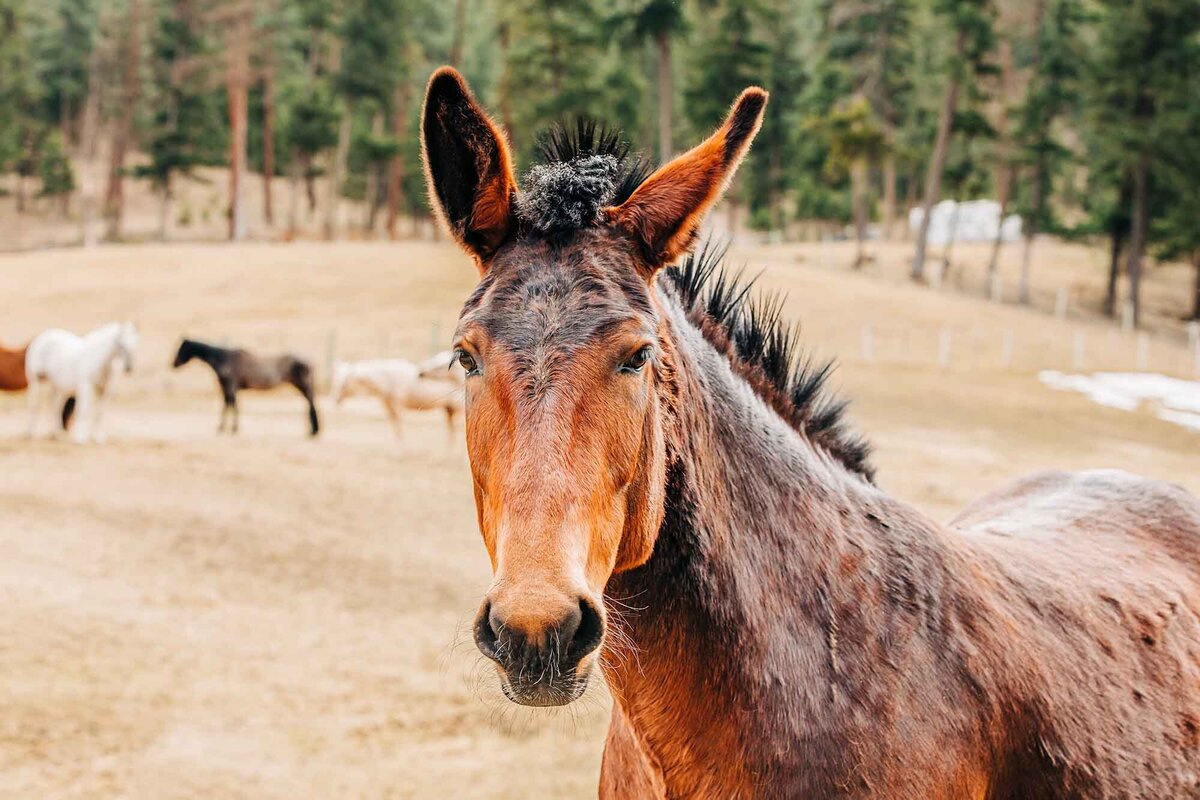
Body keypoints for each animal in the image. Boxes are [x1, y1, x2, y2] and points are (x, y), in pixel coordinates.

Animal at [172, 338, 319, 438]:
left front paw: (231, 429)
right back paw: (313, 430)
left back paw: (314, 431)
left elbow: (231, 405)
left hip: (304, 386)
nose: (173, 364)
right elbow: (229, 405)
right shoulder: (226, 389)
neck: (223, 359)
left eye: (181, 349)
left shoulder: (230, 387)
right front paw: (227, 428)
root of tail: (309, 362)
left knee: (311, 404)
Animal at [331, 357, 465, 441]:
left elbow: (399, 427)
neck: (385, 378)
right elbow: (394, 426)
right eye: (336, 380)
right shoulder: (388, 405)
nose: (335, 399)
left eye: (345, 383)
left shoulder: (397, 405)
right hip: (449, 409)